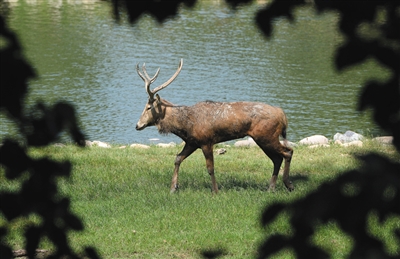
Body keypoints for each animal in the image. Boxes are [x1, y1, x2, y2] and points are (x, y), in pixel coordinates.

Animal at [134, 59, 294, 193]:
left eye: (148, 107)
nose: (137, 125)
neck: (185, 126)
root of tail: (282, 115)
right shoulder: (192, 142)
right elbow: (178, 158)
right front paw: (173, 188)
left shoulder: (206, 141)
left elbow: (210, 168)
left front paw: (215, 191)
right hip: (264, 138)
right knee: (277, 158)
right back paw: (271, 188)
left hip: (266, 136)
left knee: (288, 152)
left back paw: (288, 184)